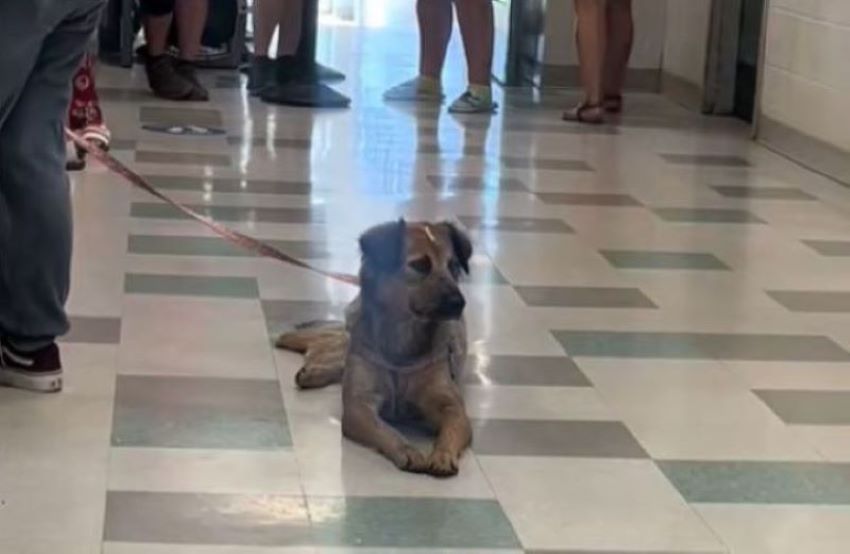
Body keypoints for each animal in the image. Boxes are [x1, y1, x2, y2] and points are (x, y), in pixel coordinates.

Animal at [280, 218, 474, 476]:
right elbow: (385, 430)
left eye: (453, 266)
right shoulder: (358, 406)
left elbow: (451, 428)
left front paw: (443, 455)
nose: (458, 303)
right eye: (420, 265)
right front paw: (406, 450)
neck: (404, 338)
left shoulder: (451, 406)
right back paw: (310, 366)